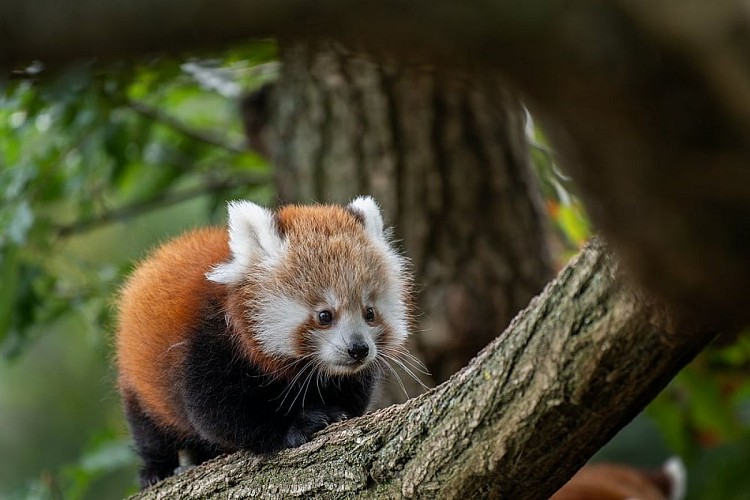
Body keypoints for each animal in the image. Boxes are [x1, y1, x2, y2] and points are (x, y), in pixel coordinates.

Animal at [114, 196, 414, 488]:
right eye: (324, 315)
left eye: (369, 312)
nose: (358, 349)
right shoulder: (208, 345)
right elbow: (220, 413)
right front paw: (300, 424)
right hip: (140, 375)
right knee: (148, 426)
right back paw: (156, 469)